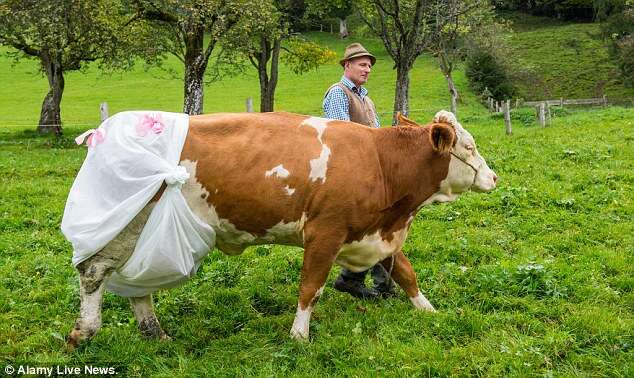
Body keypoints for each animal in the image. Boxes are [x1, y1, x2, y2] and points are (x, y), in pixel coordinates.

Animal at [66, 109, 496, 348]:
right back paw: (84, 332)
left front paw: (429, 311)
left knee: (140, 284)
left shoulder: (375, 232)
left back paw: (154, 333)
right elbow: (311, 287)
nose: (493, 176)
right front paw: (299, 336)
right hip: (130, 222)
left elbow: (406, 272)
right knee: (94, 272)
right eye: (470, 147)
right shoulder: (326, 232)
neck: (379, 161)